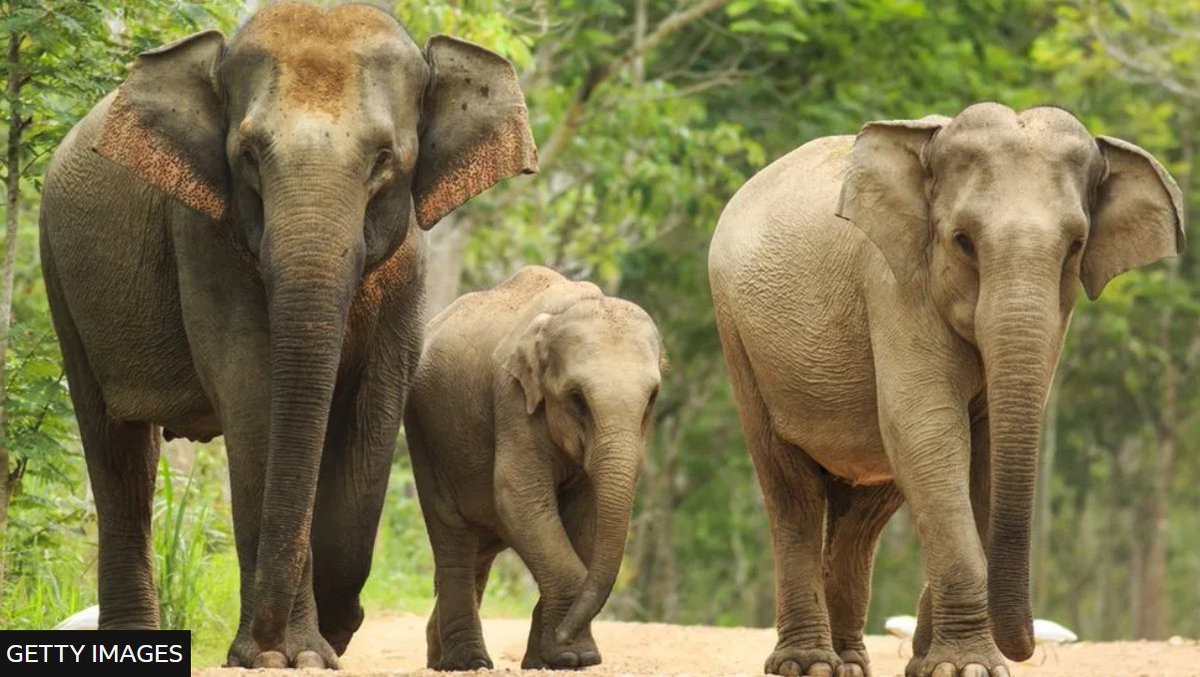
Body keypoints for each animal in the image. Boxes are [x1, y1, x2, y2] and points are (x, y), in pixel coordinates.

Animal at [38, 2, 536, 669]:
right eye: (248, 154)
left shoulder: (410, 264)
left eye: (384, 157)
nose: (264, 639)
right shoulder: (201, 233)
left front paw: (329, 635)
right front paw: (286, 656)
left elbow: (376, 407)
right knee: (117, 451)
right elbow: (251, 389)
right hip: (60, 278)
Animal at [403, 265, 664, 671]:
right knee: (453, 536)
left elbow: (586, 519)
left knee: (479, 551)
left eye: (652, 398)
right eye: (577, 399)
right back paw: (467, 663)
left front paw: (555, 659)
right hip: (425, 433)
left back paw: (440, 658)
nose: (567, 634)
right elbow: (519, 497)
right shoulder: (512, 399)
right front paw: (574, 655)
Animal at [707, 103, 1184, 677]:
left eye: (1075, 246)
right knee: (791, 489)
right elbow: (927, 429)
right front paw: (967, 667)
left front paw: (935, 663)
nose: (1031, 644)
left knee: (864, 513)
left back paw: (850, 662)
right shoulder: (893, 283)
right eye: (963, 241)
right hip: (739, 338)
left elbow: (981, 451)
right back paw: (811, 665)